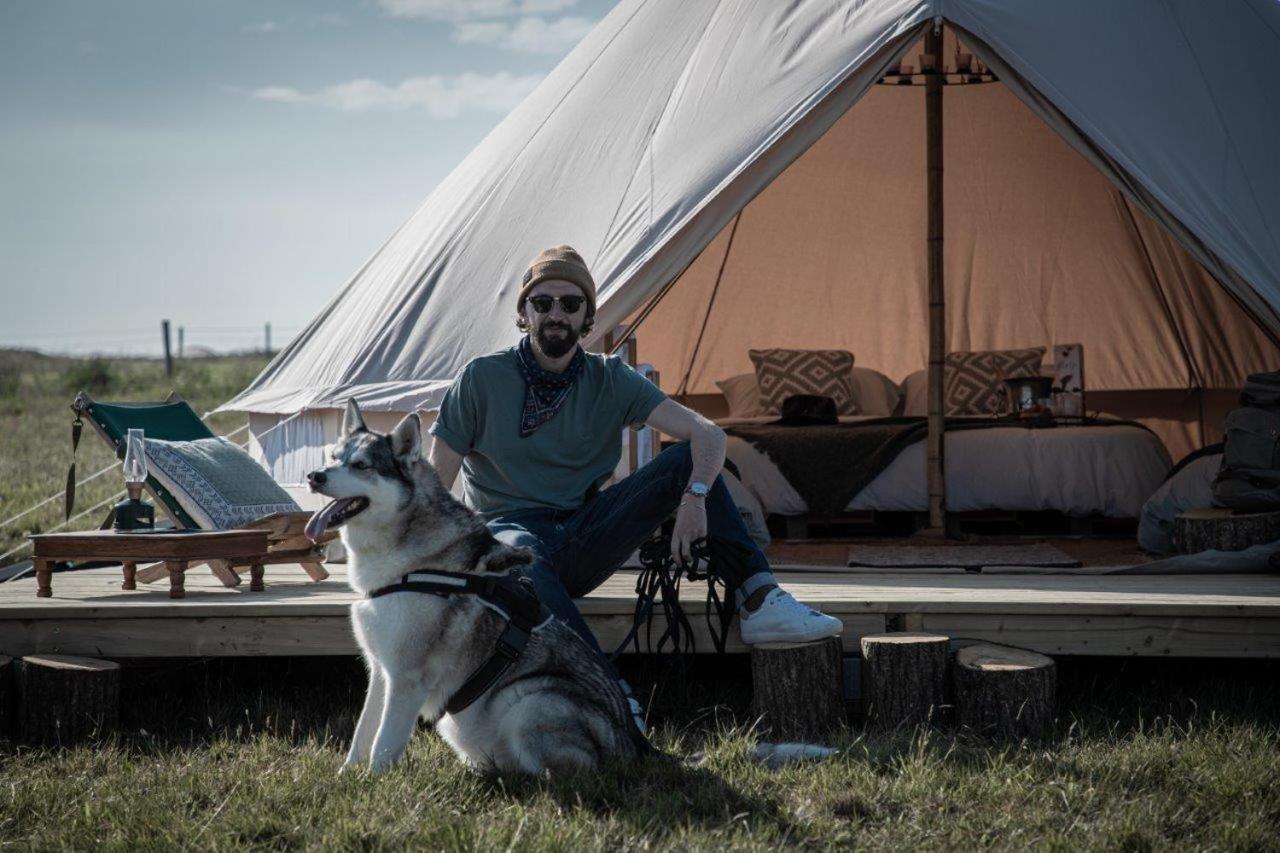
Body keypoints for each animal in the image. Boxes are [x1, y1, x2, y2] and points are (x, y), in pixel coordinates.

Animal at [307, 397, 650, 768]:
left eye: (360, 465)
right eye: (333, 457)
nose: (314, 476)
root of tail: (632, 746)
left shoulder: (406, 680)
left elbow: (383, 745)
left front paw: (374, 778)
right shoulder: (381, 672)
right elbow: (362, 736)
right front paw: (348, 775)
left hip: (530, 700)